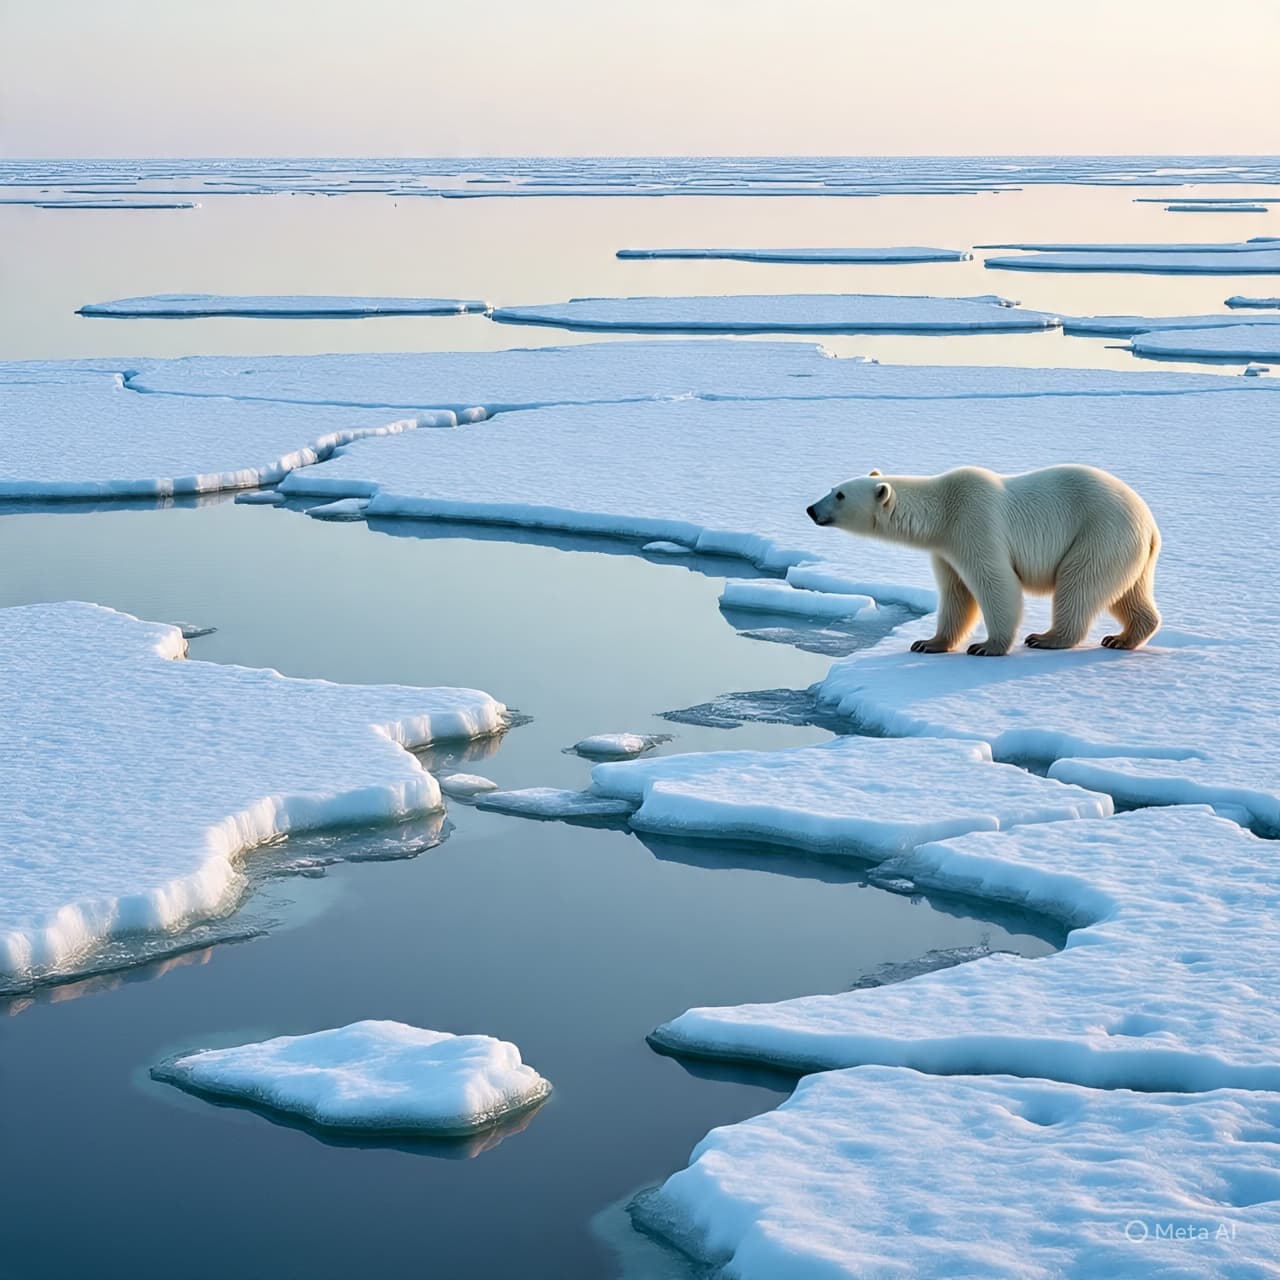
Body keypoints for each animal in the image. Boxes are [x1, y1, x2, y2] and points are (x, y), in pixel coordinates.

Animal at [806, 464, 1161, 657]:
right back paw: (1122, 637)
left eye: (840, 495)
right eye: (832, 488)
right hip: (1126, 550)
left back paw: (1048, 637)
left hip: (1098, 533)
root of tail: (1150, 524)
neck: (943, 509)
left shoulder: (975, 523)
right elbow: (956, 593)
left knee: (1079, 584)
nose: (811, 509)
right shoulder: (946, 547)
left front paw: (986, 646)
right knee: (1128, 593)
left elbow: (995, 583)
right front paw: (928, 642)